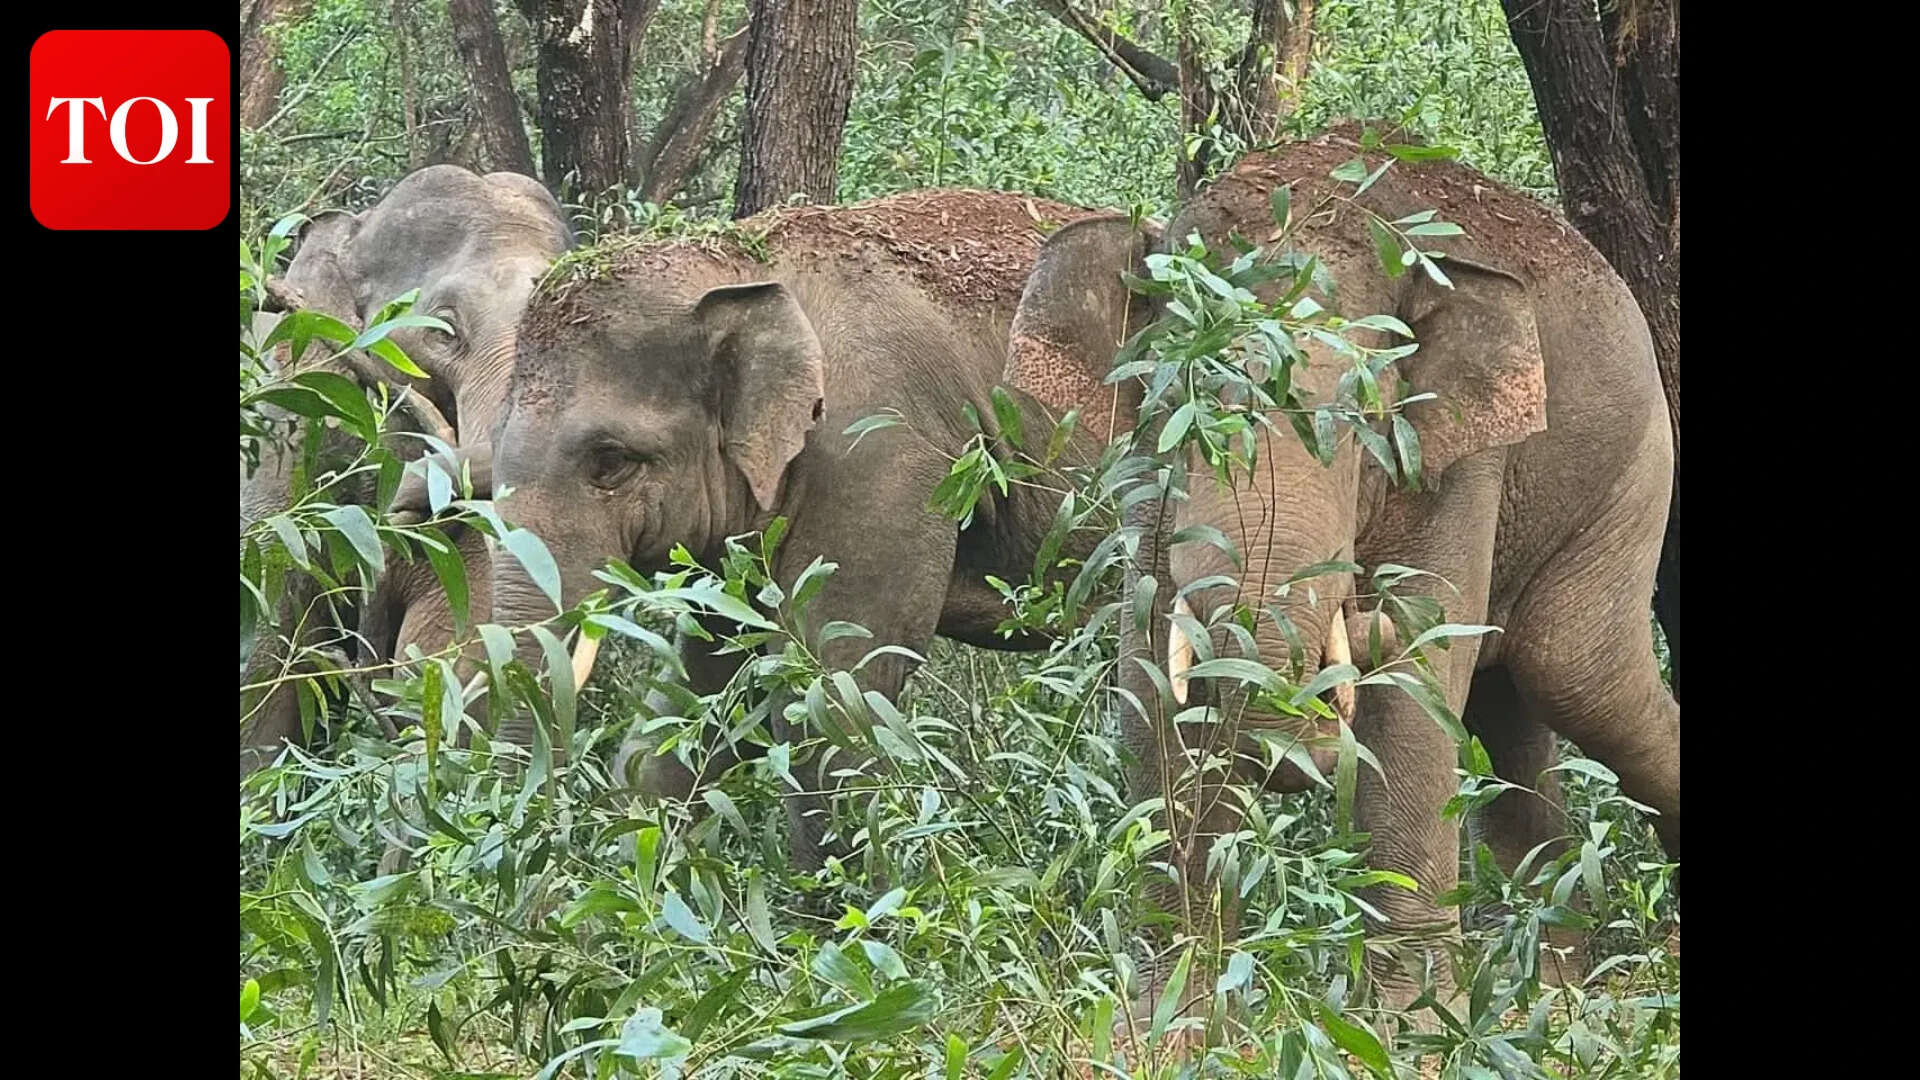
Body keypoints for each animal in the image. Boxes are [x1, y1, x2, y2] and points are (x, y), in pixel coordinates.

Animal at [998, 125, 1679, 1016]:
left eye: (1362, 422)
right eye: (1180, 407)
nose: (1306, 750)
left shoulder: (1457, 459)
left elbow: (1417, 684)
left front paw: (1412, 1025)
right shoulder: (1147, 485)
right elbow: (1149, 672)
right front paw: (1175, 1015)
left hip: (1634, 475)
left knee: (1573, 675)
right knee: (1509, 709)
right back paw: (1544, 991)